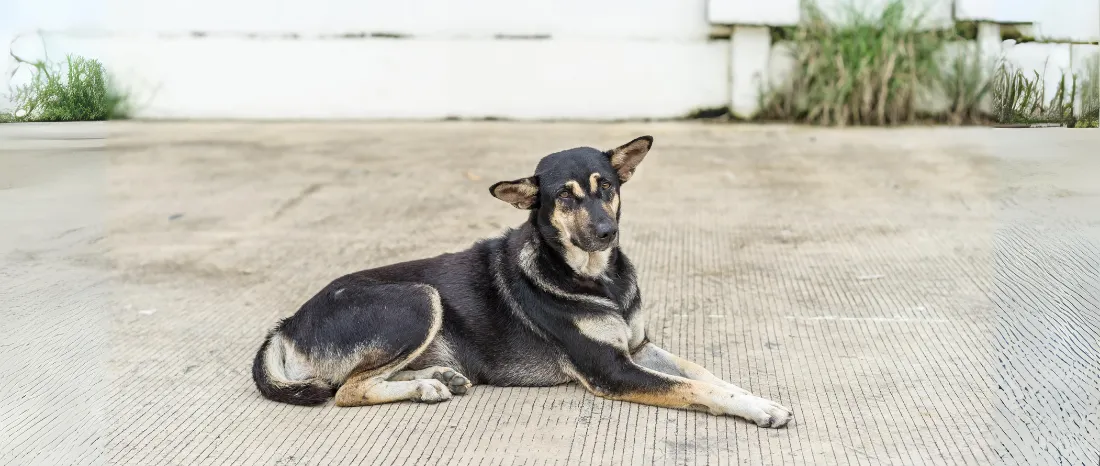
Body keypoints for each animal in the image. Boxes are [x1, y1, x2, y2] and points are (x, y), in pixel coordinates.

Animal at [251, 134, 792, 426]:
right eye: (565, 197)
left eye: (606, 187)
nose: (607, 232)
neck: (598, 278)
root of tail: (287, 323)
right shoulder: (612, 371)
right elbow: (697, 388)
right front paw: (756, 410)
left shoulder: (637, 349)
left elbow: (706, 374)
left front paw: (759, 399)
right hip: (418, 298)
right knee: (346, 389)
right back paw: (424, 386)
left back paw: (437, 376)